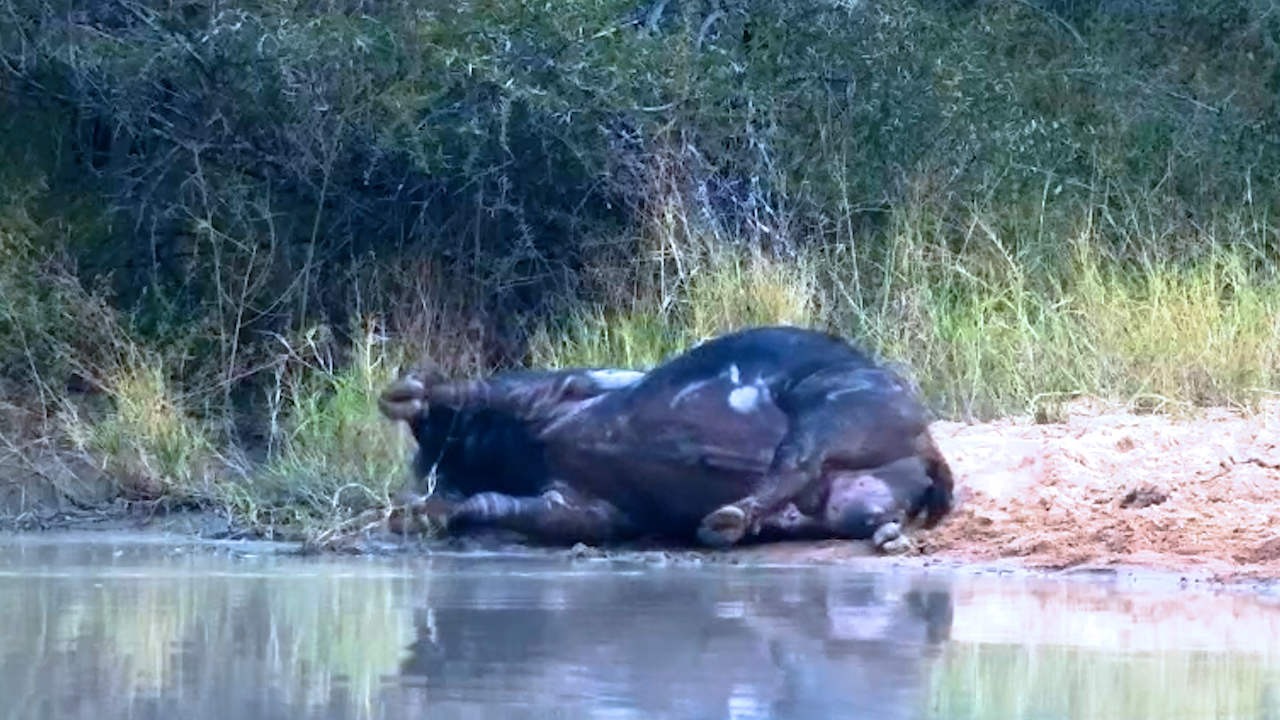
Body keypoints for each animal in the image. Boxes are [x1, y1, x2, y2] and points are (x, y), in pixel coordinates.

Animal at [379, 326, 954, 552]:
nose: (424, 463)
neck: (512, 454)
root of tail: (927, 444)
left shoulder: (565, 388)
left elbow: (490, 389)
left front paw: (404, 395)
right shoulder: (581, 508)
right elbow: (491, 505)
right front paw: (414, 515)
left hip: (832, 404)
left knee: (795, 461)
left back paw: (724, 523)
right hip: (855, 498)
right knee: (843, 503)